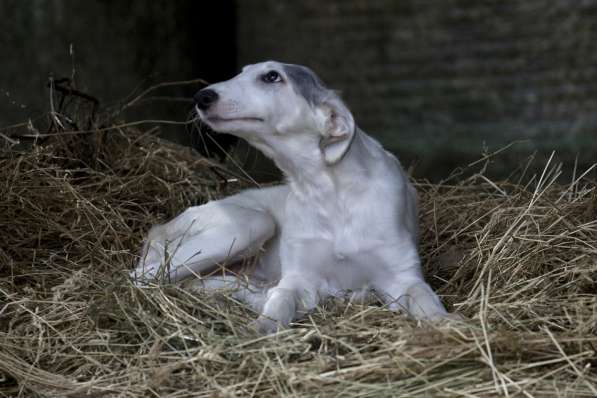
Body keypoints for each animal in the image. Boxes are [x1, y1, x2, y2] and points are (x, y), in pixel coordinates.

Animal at [132, 60, 456, 334]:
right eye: (241, 72)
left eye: (272, 76)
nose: (201, 96)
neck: (329, 193)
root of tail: (158, 228)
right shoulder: (299, 278)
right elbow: (279, 304)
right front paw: (259, 329)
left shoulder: (404, 277)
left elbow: (428, 303)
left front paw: (450, 326)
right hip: (251, 224)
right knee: (140, 277)